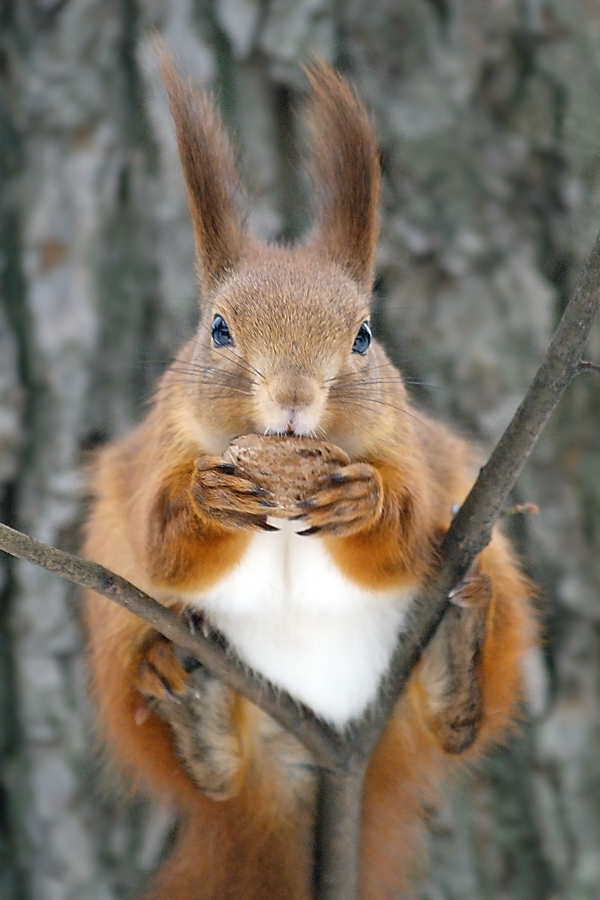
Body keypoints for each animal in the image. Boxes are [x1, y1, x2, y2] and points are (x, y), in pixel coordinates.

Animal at [83, 52, 536, 896]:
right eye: (217, 329)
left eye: (364, 335)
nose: (294, 398)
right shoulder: (151, 459)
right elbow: (164, 546)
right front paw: (210, 499)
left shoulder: (419, 455)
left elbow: (406, 544)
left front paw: (366, 502)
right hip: (113, 627)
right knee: (206, 775)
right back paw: (195, 715)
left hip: (497, 576)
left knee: (456, 724)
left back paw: (456, 665)